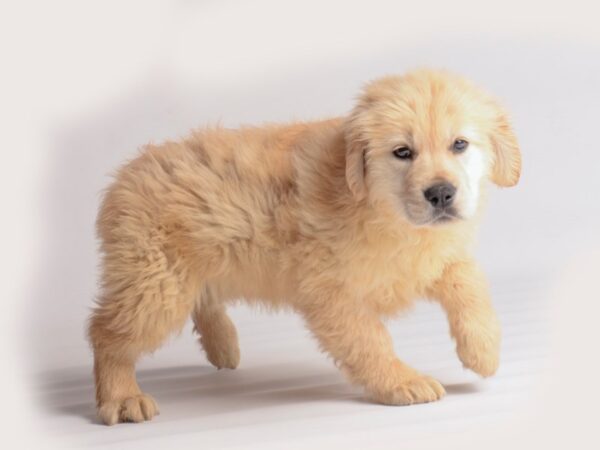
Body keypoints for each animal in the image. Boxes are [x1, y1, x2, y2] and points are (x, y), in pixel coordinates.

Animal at [88, 68, 520, 424]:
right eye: (402, 152)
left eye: (459, 144)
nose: (441, 194)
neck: (381, 208)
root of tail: (123, 176)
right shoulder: (330, 291)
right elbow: (370, 339)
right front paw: (401, 382)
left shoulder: (437, 256)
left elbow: (469, 283)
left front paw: (483, 351)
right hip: (155, 285)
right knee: (105, 333)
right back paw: (122, 398)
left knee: (204, 299)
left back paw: (223, 346)